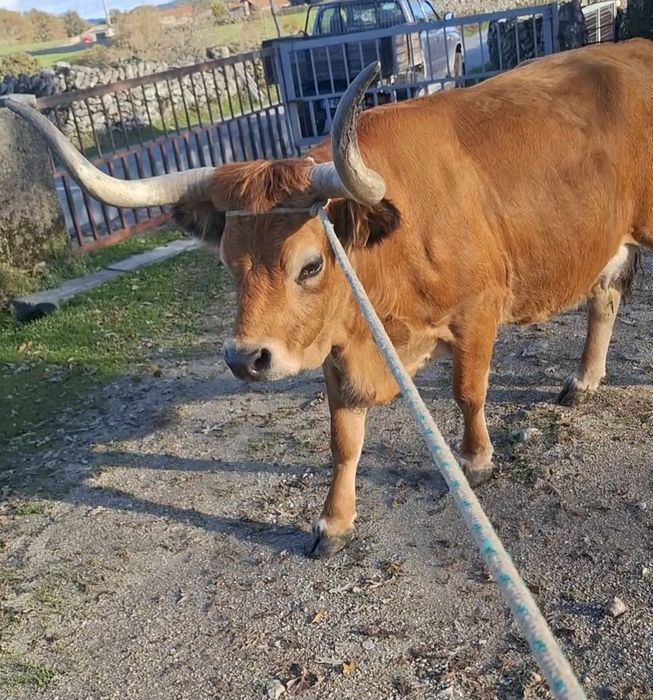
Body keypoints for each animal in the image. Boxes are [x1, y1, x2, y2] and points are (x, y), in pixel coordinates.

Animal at [10, 38, 653, 558]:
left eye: (311, 264)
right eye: (227, 263)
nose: (244, 359)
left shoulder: (477, 311)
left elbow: (468, 394)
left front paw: (475, 460)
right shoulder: (336, 346)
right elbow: (344, 439)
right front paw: (333, 521)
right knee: (604, 297)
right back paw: (583, 380)